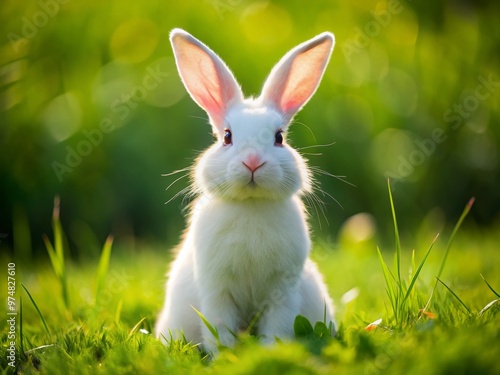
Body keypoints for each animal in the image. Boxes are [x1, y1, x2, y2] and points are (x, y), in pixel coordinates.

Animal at [156, 27, 336, 354]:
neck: (251, 205)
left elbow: (276, 326)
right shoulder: (217, 289)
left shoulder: (282, 290)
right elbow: (219, 326)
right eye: (227, 137)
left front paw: (269, 351)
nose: (252, 161)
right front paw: (225, 355)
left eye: (279, 137)